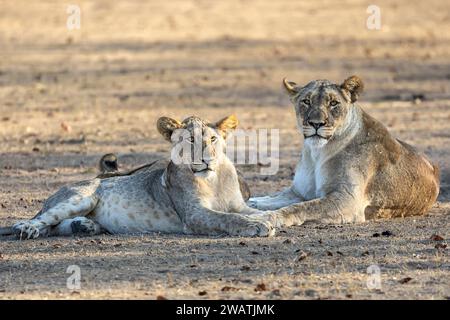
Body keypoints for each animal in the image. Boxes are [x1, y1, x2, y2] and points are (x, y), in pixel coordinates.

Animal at [2, 114, 274, 238]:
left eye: (213, 139)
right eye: (190, 140)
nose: (206, 159)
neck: (214, 180)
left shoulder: (238, 204)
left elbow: (259, 212)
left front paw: (269, 219)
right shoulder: (194, 214)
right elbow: (228, 218)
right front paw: (257, 226)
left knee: (56, 227)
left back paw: (85, 226)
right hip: (81, 197)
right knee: (44, 220)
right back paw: (27, 228)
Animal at [250, 76, 440, 226]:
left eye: (334, 103)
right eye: (306, 101)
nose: (316, 123)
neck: (316, 154)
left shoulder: (347, 200)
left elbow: (299, 208)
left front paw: (265, 218)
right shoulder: (300, 191)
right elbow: (278, 197)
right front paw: (255, 204)